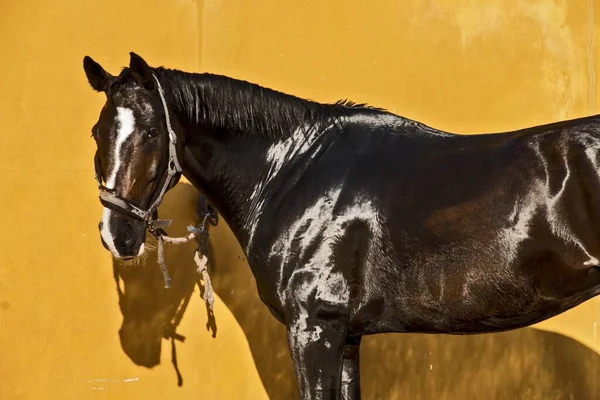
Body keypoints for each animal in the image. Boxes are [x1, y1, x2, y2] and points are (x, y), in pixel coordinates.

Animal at [84, 51, 600, 398]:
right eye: (97, 132)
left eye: (152, 132)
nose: (117, 235)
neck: (294, 170)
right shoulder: (347, 336)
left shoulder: (315, 328)